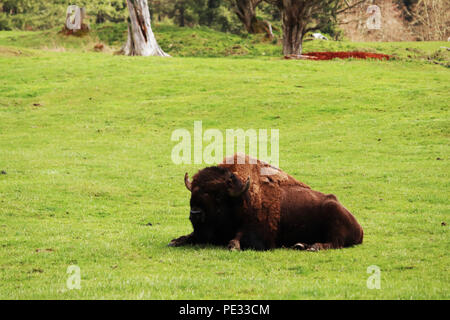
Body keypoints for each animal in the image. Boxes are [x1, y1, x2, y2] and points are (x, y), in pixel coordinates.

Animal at [169, 154, 362, 251]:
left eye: (218, 196)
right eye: (193, 192)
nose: (195, 213)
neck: (241, 199)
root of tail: (359, 228)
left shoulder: (259, 235)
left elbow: (238, 239)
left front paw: (233, 246)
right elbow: (188, 237)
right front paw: (175, 241)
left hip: (333, 216)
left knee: (334, 242)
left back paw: (312, 247)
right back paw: (300, 245)